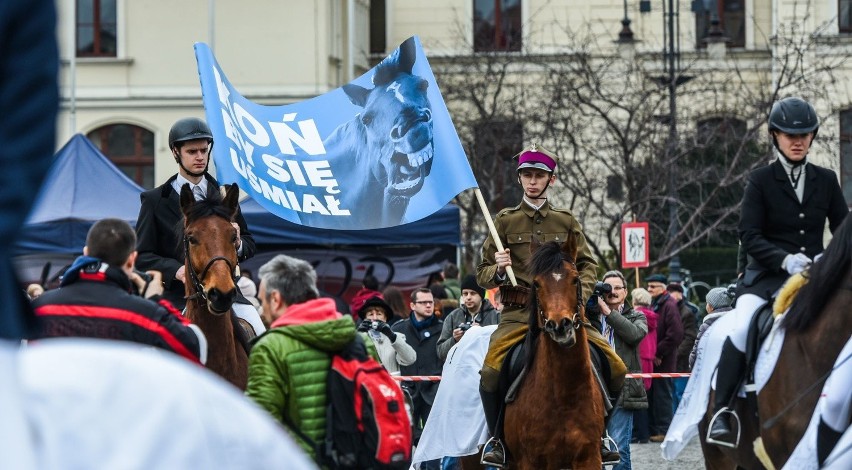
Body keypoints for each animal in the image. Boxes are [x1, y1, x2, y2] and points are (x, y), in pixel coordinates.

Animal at [500, 239, 604, 470]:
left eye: (575, 279)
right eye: (537, 284)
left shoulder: (589, 457)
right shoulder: (530, 461)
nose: (560, 326)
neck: (565, 395)